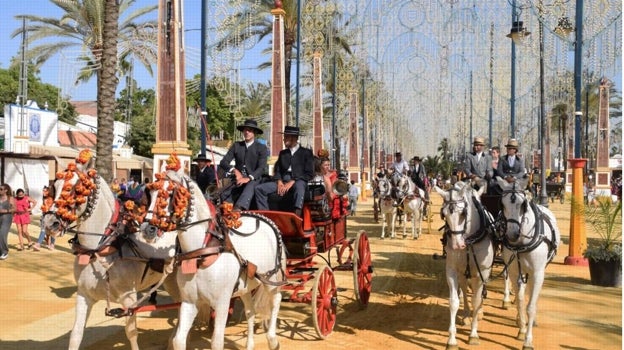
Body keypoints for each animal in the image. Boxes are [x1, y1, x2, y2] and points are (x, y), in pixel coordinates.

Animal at [41, 158, 179, 350]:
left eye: (76, 189)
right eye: (54, 187)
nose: (49, 223)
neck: (100, 248)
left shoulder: (129, 300)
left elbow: (132, 334)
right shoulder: (84, 295)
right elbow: (76, 335)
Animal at [140, 168, 284, 348]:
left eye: (170, 193)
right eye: (150, 194)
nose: (147, 229)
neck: (201, 254)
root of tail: (264, 219)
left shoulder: (222, 304)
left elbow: (216, 342)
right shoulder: (189, 302)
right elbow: (178, 340)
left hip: (271, 279)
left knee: (276, 300)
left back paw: (272, 339)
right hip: (245, 285)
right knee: (250, 310)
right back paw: (250, 344)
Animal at [434, 182, 498, 348]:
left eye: (463, 213)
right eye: (443, 214)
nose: (457, 245)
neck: (469, 240)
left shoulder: (481, 273)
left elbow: (476, 300)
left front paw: (473, 334)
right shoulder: (452, 270)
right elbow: (454, 302)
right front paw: (451, 339)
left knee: (478, 293)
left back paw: (478, 312)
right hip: (463, 271)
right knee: (463, 287)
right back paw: (466, 315)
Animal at [498, 178, 560, 350]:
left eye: (523, 204)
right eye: (502, 204)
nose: (512, 234)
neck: (521, 243)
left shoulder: (537, 273)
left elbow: (531, 306)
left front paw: (528, 341)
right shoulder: (514, 271)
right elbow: (520, 301)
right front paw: (522, 328)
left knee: (532, 294)